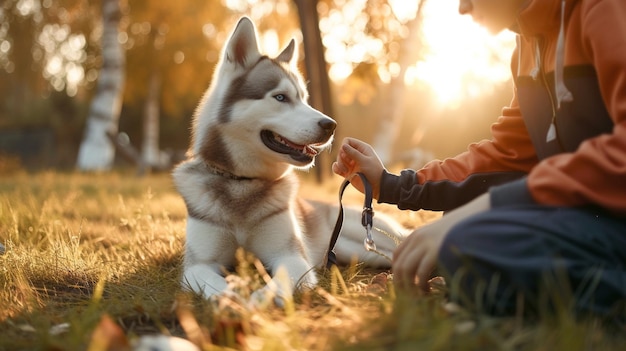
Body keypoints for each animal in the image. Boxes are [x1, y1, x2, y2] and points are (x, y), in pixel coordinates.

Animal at [172, 17, 404, 302]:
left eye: (304, 98)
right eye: (280, 97)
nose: (331, 125)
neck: (242, 183)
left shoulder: (291, 257)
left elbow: (275, 285)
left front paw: (256, 303)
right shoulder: (198, 265)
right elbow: (217, 285)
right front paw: (233, 299)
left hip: (368, 238)